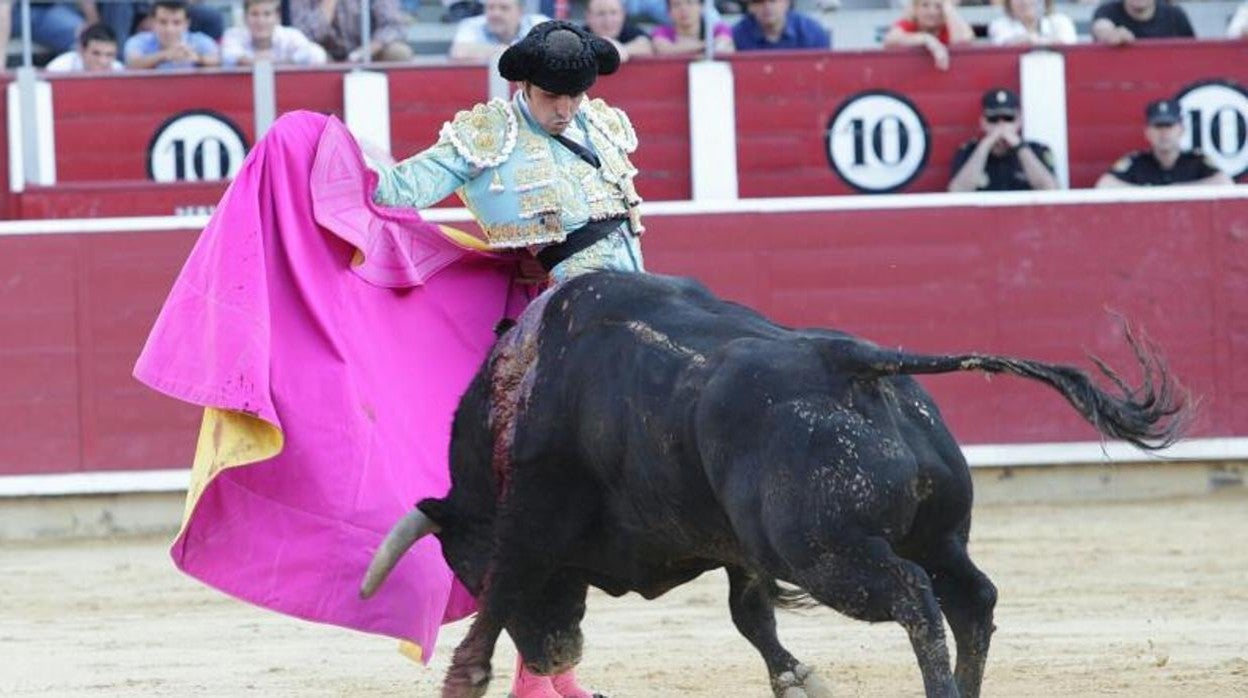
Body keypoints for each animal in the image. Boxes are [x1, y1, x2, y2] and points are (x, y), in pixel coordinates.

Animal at [356, 272, 1183, 698]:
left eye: (461, 568)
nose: (558, 657)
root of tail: (849, 359)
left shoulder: (533, 513)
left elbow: (506, 585)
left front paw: (464, 676)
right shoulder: (736, 546)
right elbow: (750, 616)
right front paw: (797, 678)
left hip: (827, 555)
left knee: (916, 599)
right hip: (937, 531)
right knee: (971, 596)